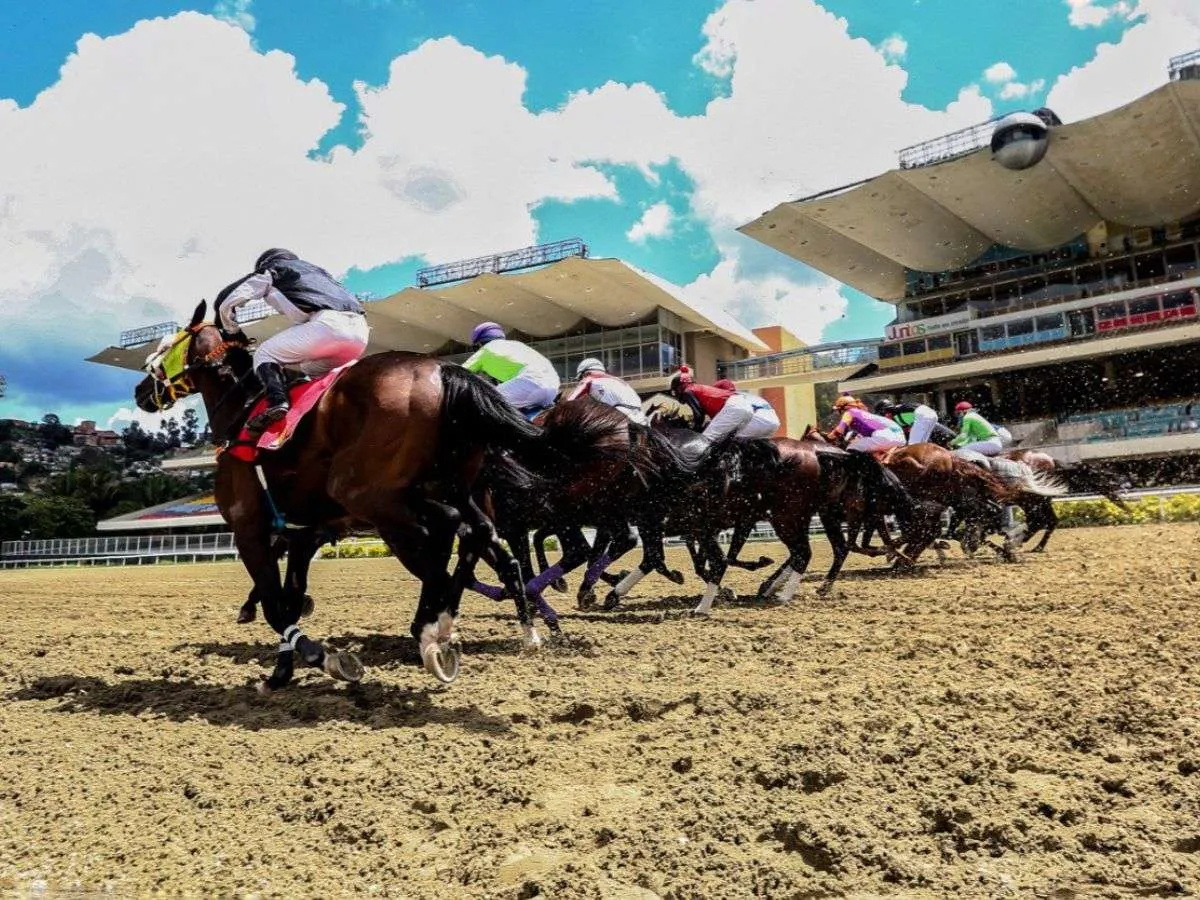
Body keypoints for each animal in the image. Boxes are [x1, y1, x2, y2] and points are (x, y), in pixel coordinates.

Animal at [133, 301, 542, 691]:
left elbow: (275, 607)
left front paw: (324, 658)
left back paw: (432, 629)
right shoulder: (304, 534)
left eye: (165, 347)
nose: (140, 392)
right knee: (483, 538)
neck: (242, 413)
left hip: (369, 496)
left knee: (448, 537)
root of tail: (443, 370)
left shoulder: (248, 527)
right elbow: (289, 600)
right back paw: (506, 630)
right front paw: (281, 672)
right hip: (445, 490)